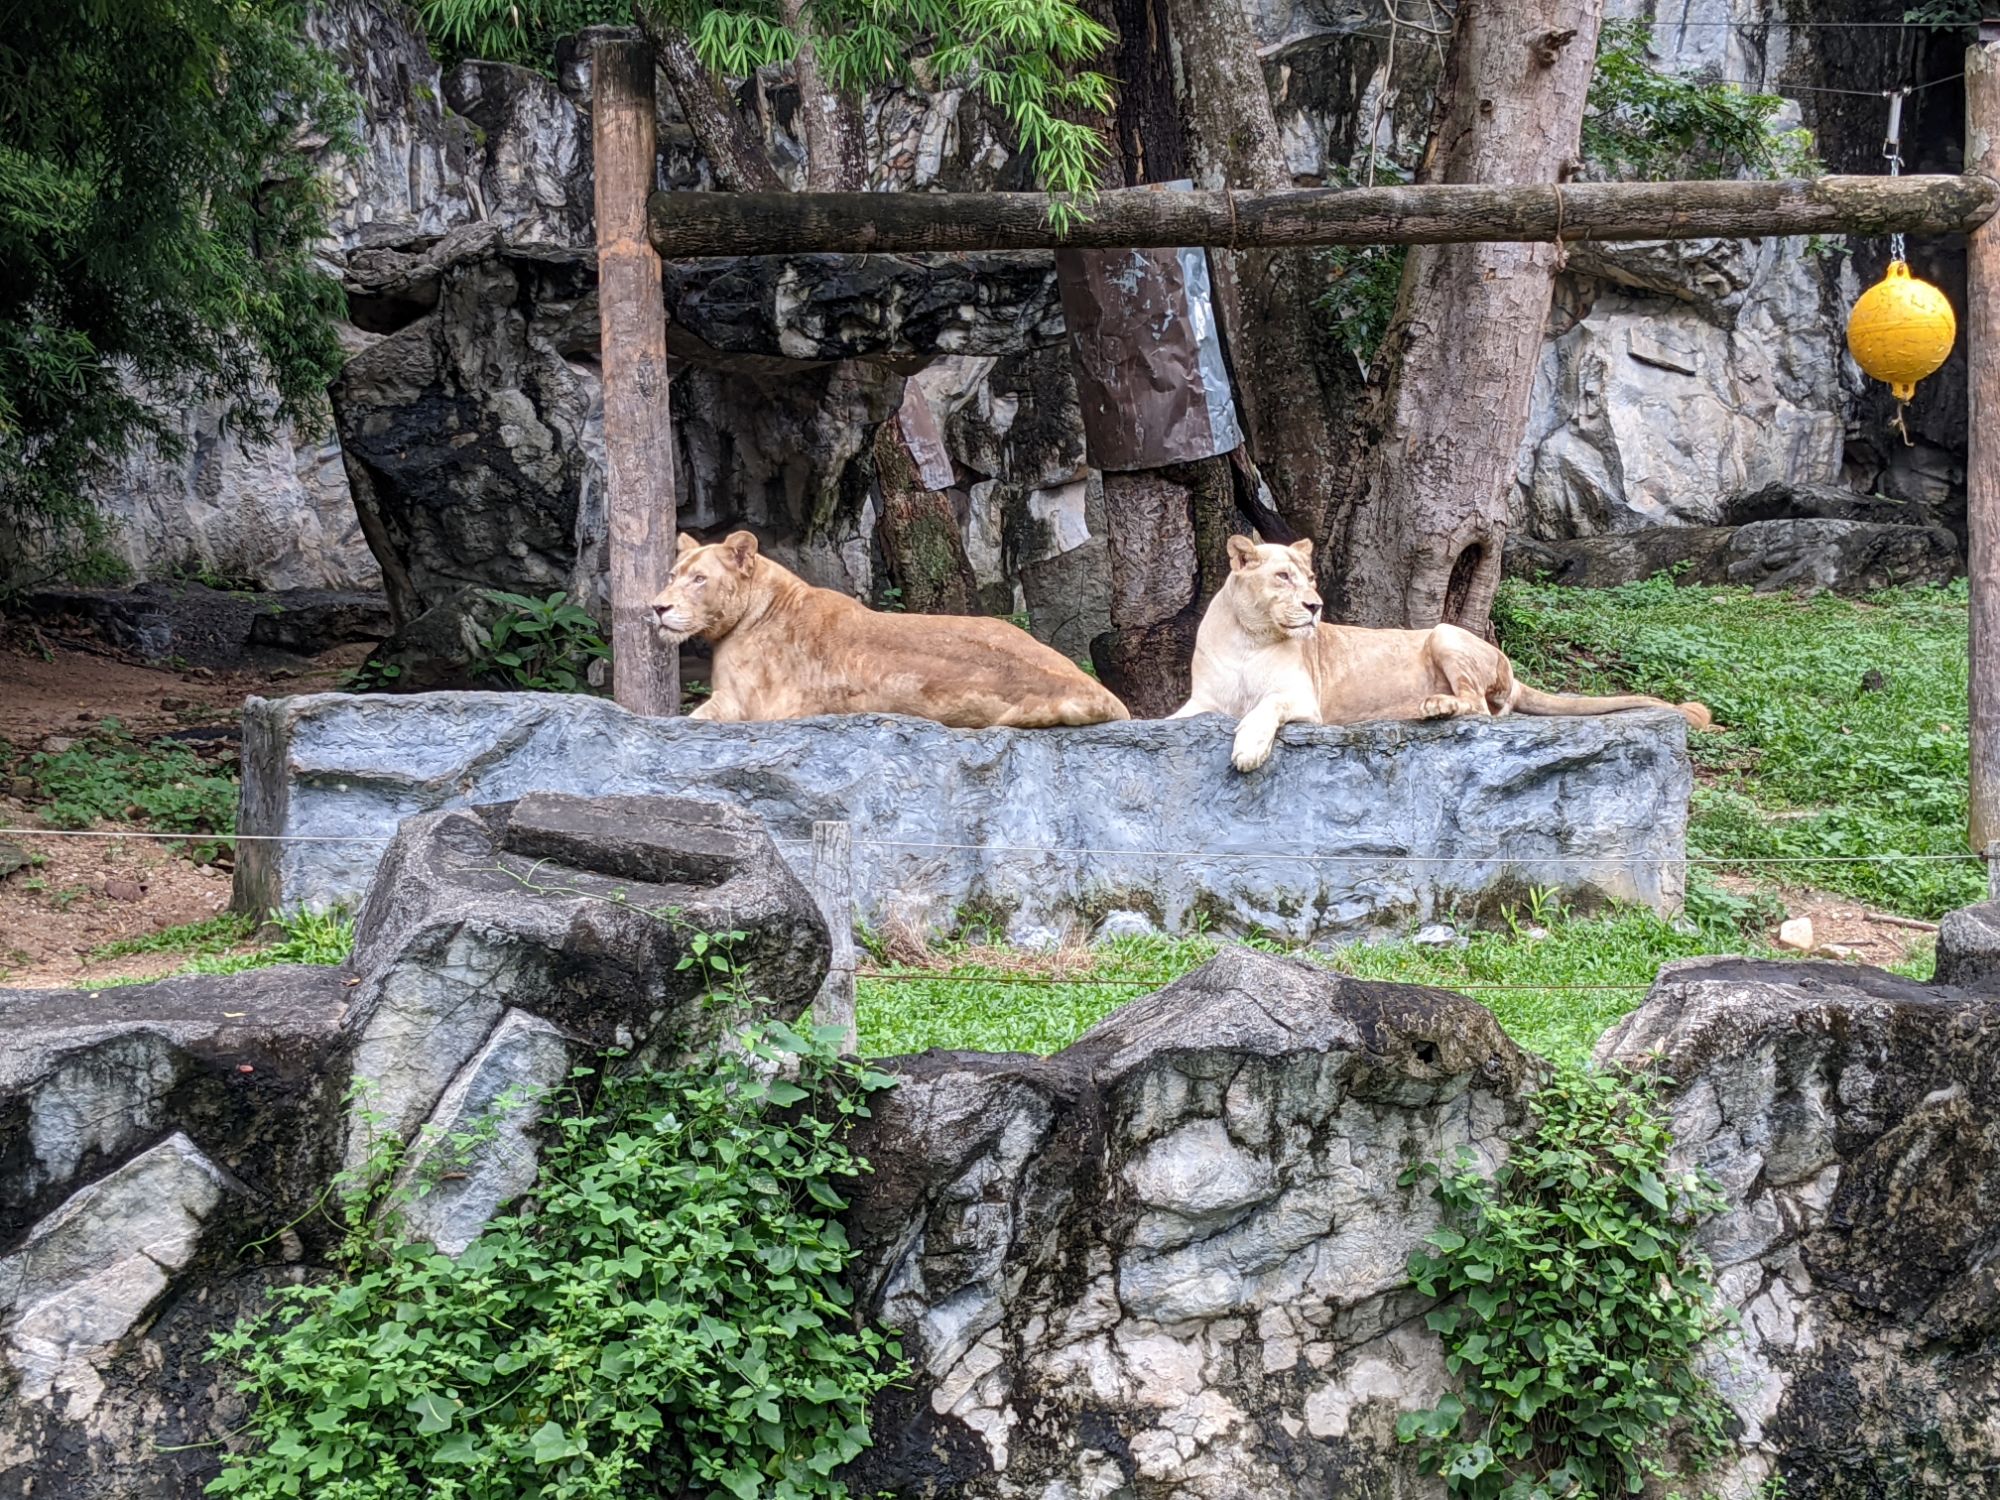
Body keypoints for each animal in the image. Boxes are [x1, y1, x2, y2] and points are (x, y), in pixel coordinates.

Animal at [1168, 536, 1720, 776]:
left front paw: (1247, 750)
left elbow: (1265, 707)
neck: (1251, 636)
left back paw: (1434, 706)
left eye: (1310, 578)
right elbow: (1170, 718)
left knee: (1478, 708)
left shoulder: (1304, 701)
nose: (1315, 606)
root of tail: (1508, 665)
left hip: (1445, 633)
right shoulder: (1202, 702)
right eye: (1283, 577)